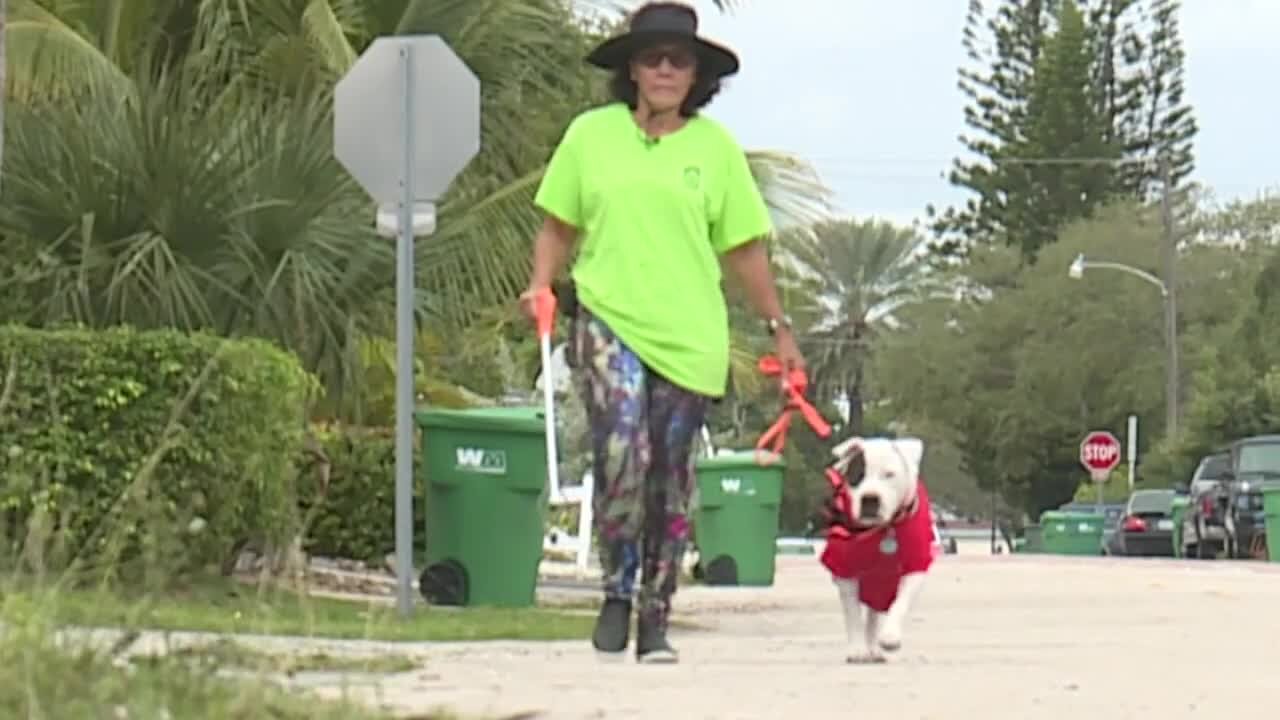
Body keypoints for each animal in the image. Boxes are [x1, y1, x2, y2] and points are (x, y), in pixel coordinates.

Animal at [814, 430, 936, 661]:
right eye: (858, 475)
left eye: (889, 475)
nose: (870, 498)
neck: (883, 530)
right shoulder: (845, 571)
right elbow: (852, 613)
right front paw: (857, 649)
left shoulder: (915, 568)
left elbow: (901, 602)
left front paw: (890, 637)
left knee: (874, 615)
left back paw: (875, 648)